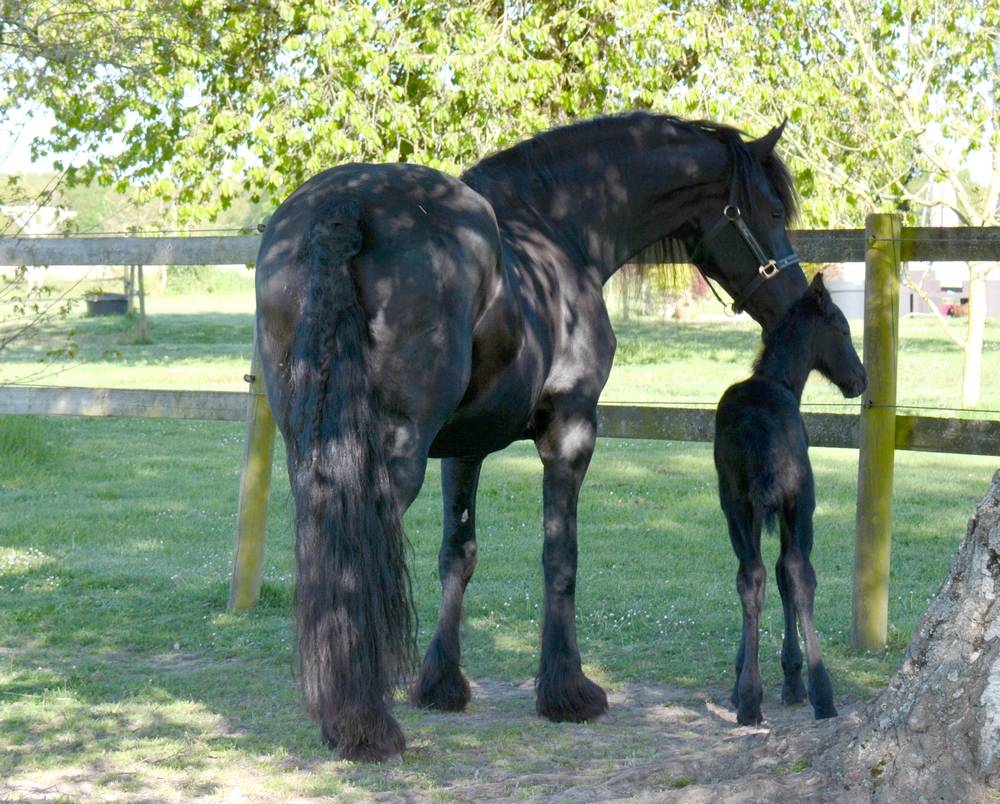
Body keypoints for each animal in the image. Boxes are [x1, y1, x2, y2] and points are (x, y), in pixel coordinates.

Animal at [254, 112, 809, 761]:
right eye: (772, 209)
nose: (796, 299)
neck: (558, 226)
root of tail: (341, 209)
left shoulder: (463, 447)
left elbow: (458, 554)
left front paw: (441, 684)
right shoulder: (569, 428)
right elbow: (560, 556)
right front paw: (567, 691)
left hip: (311, 447)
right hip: (392, 457)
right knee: (359, 557)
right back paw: (364, 722)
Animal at [713, 272, 867, 727]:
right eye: (844, 329)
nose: (861, 378)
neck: (779, 381)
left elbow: (761, 577)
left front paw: (743, 680)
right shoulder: (791, 508)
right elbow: (786, 575)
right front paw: (791, 677)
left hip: (736, 504)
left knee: (750, 575)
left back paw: (750, 700)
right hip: (800, 501)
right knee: (797, 571)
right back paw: (818, 693)